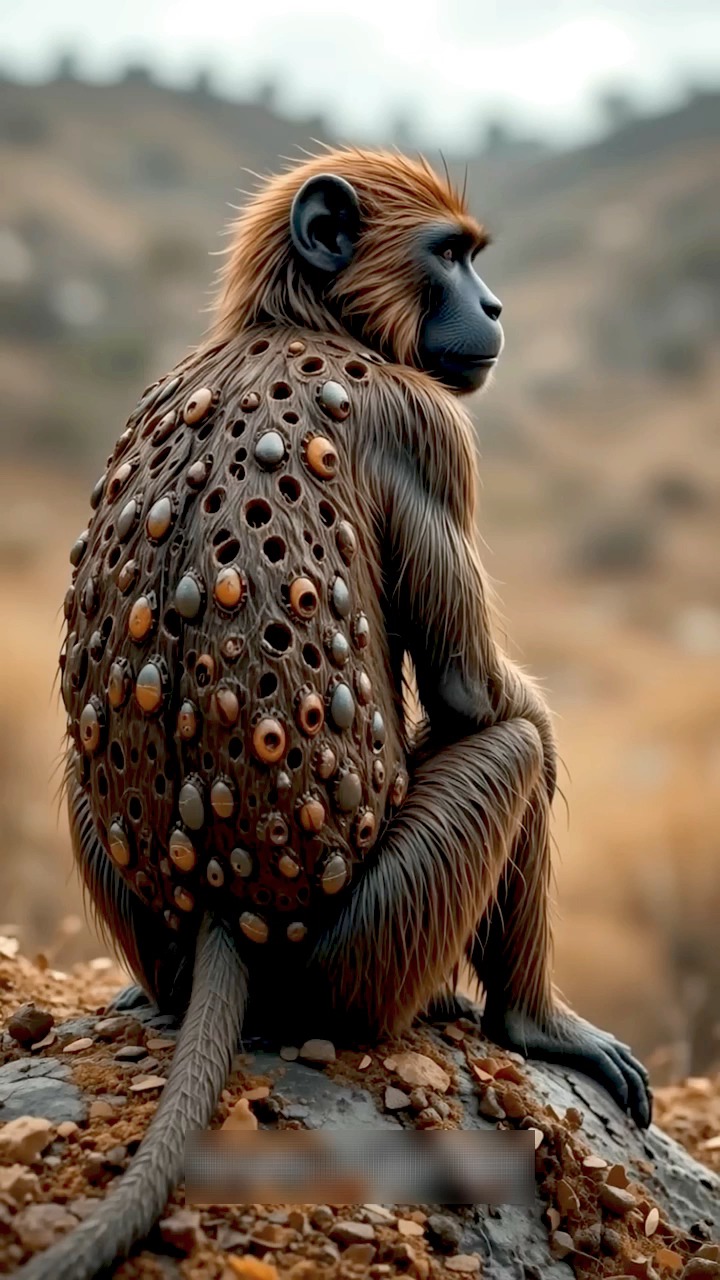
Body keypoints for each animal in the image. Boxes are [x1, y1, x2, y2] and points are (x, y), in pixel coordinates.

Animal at [21, 148, 651, 1280]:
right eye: (450, 256)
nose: (495, 307)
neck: (298, 317)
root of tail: (222, 907)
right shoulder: (427, 426)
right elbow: (476, 698)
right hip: (359, 953)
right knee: (514, 748)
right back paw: (527, 1020)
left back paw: (148, 992)